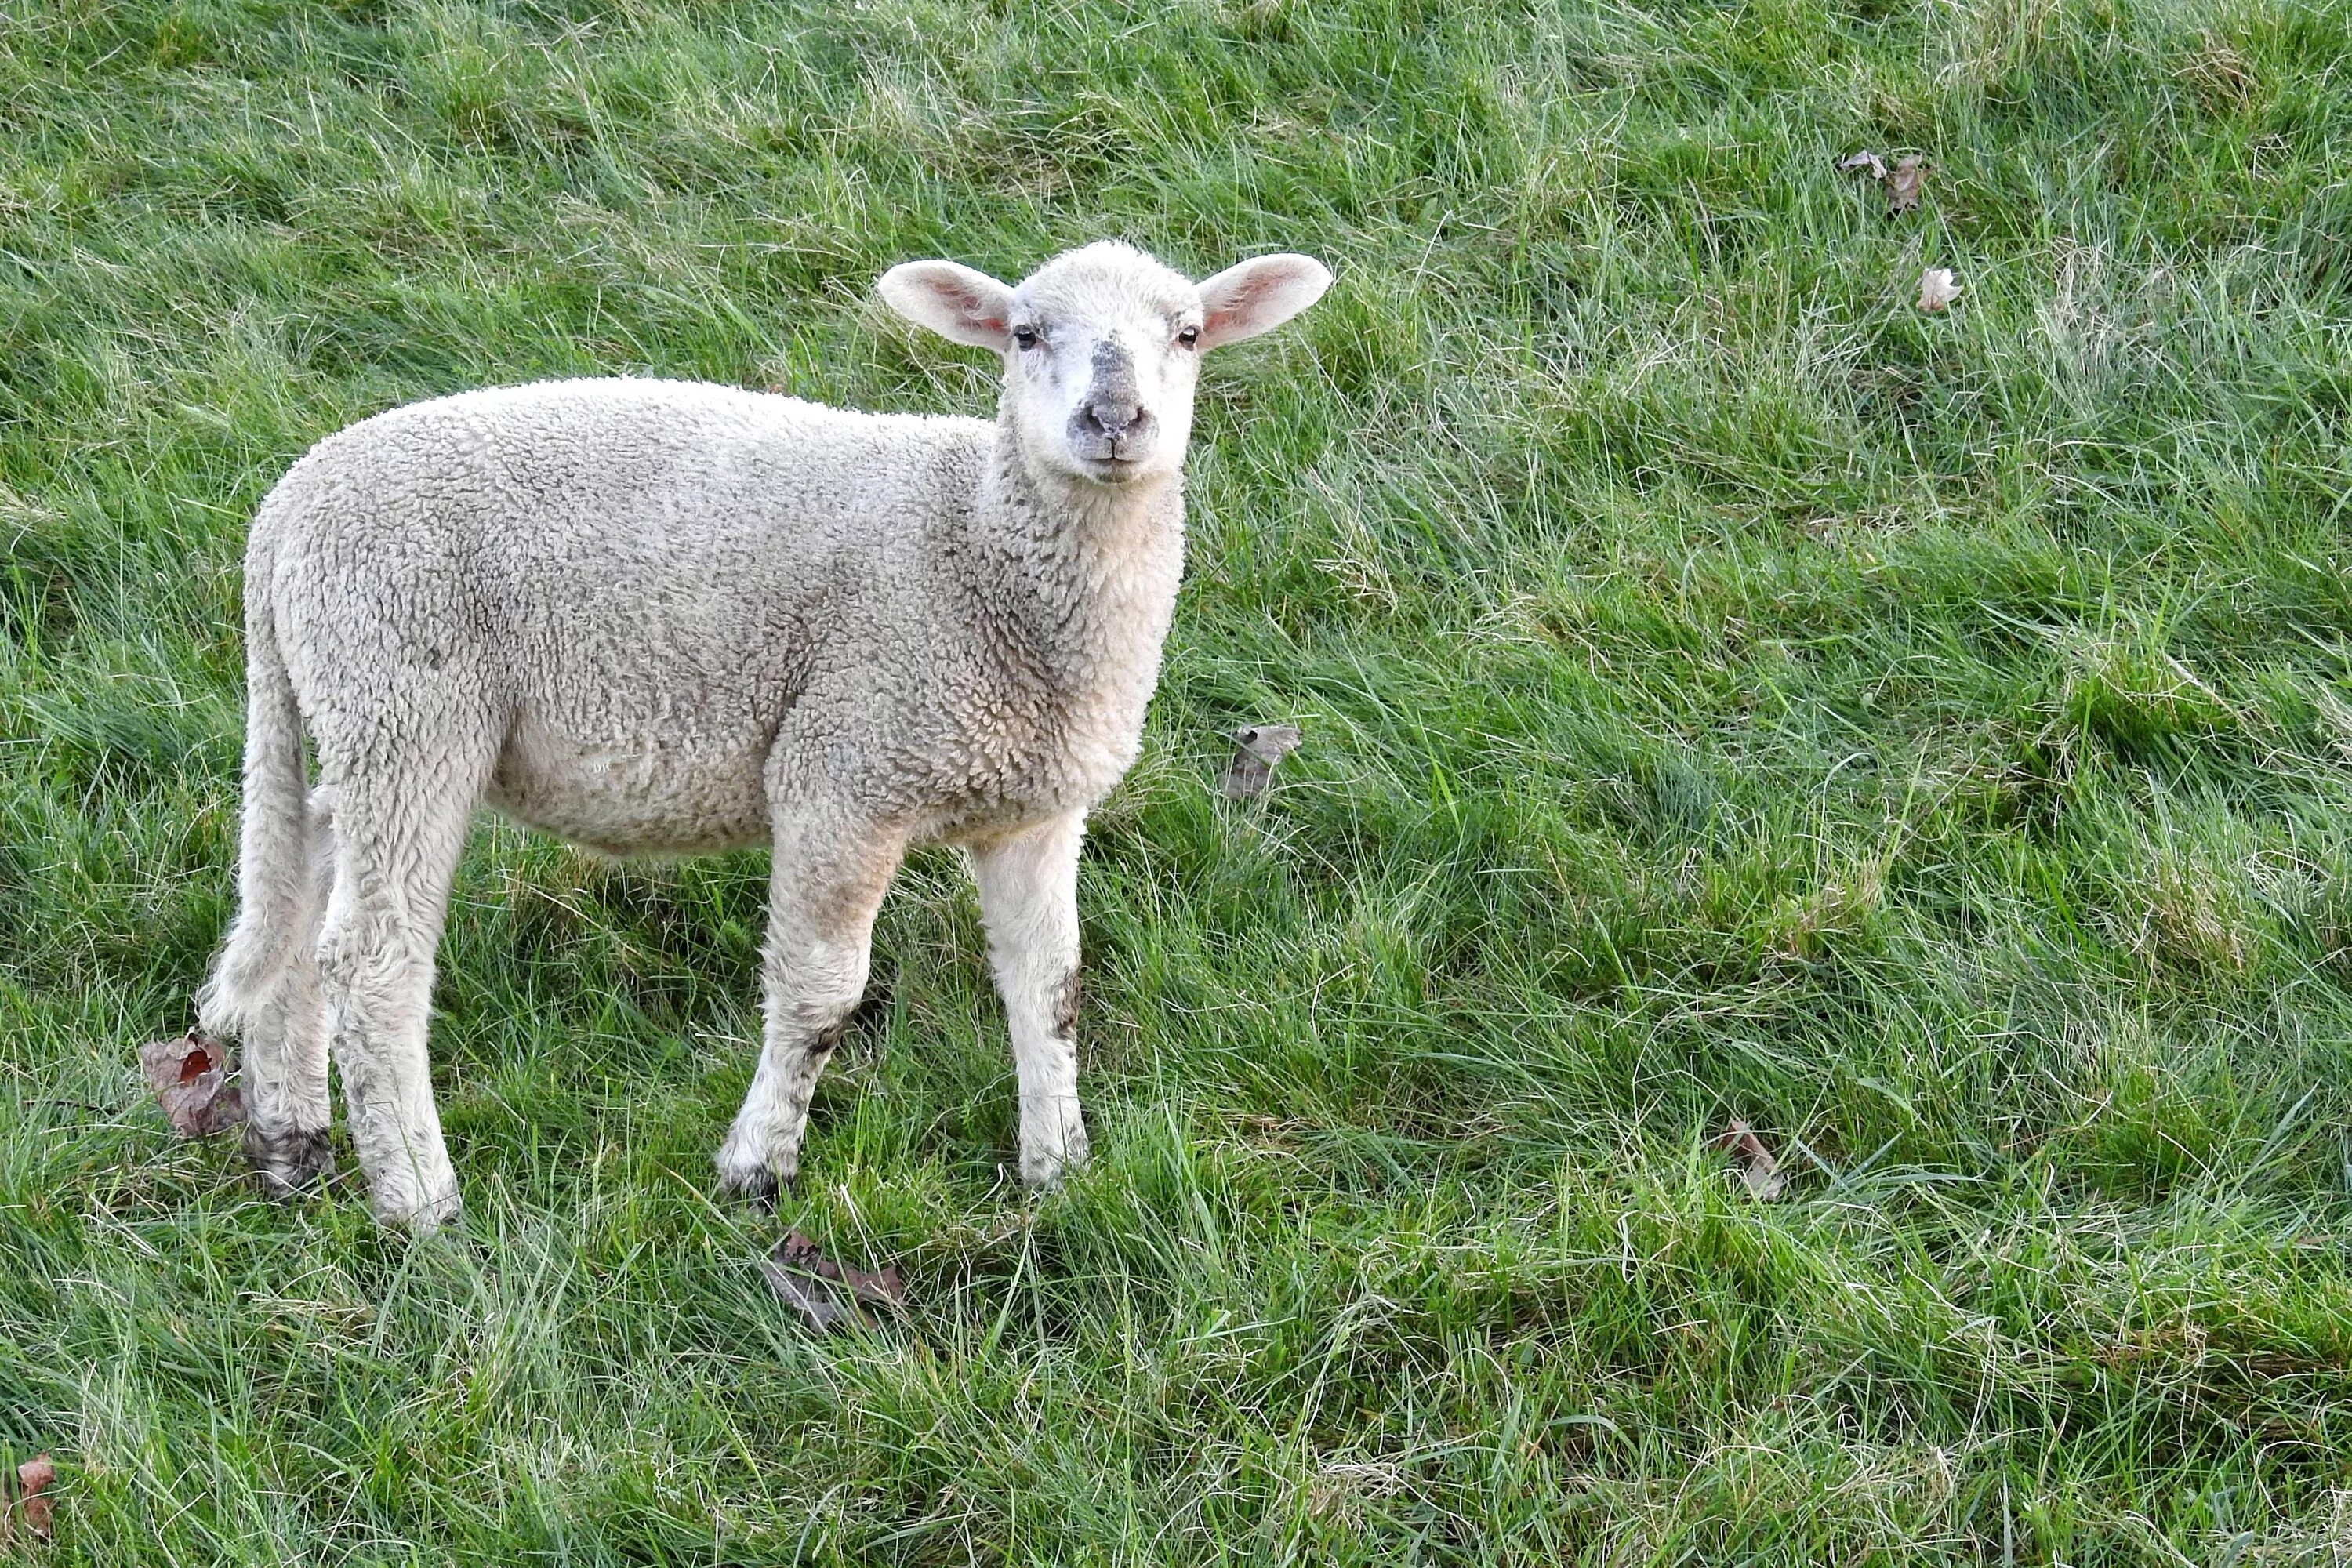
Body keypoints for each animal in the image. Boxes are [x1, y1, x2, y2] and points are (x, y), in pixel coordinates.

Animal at [193, 241, 1336, 1222]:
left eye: (1187, 333)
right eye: (1023, 334)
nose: (1114, 416)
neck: (980, 549)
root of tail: (287, 507)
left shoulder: (1036, 807)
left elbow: (1050, 989)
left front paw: (1058, 1166)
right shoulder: (847, 769)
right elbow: (823, 993)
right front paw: (757, 1167)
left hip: (345, 710)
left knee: (297, 904)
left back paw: (291, 1145)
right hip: (407, 691)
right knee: (373, 959)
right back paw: (421, 1201)